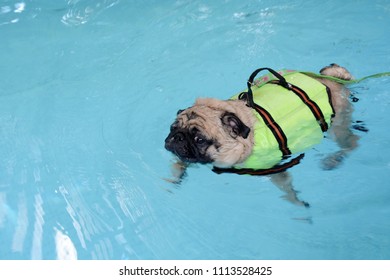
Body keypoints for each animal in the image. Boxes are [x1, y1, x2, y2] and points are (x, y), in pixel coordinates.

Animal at [164, 64, 360, 207]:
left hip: (338, 126)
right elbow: (180, 162)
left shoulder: (274, 168)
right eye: (172, 128)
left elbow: (287, 188)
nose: (177, 137)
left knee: (352, 143)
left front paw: (296, 202)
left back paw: (334, 159)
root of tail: (332, 80)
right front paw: (173, 178)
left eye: (199, 139)